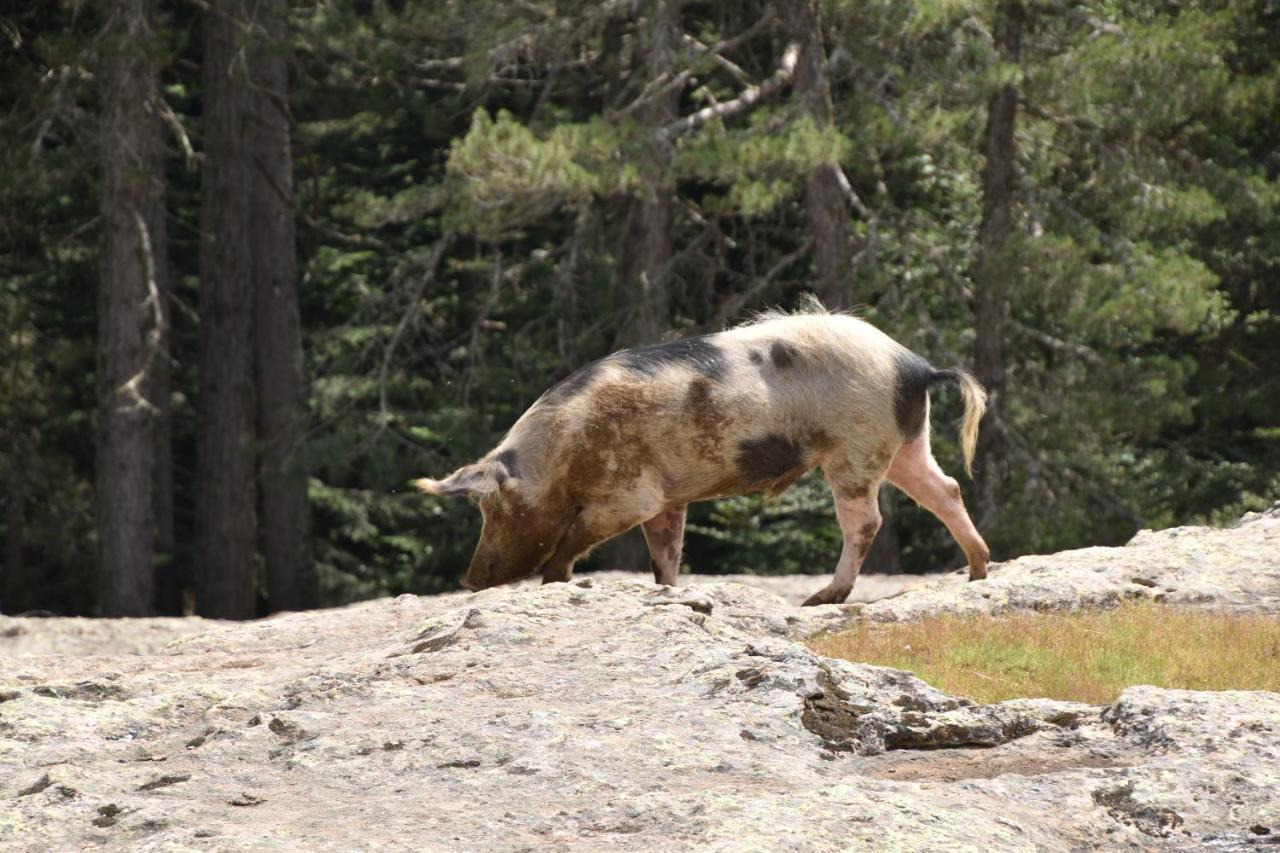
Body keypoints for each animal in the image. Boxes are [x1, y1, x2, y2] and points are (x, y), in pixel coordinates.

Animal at [419, 302, 988, 601]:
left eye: (495, 508)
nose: (470, 579)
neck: (558, 457)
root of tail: (914, 366)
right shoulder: (669, 500)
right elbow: (665, 554)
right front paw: (668, 595)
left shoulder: (630, 494)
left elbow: (572, 543)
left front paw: (557, 584)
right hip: (905, 442)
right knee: (946, 489)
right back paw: (978, 571)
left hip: (855, 448)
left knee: (867, 521)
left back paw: (821, 598)